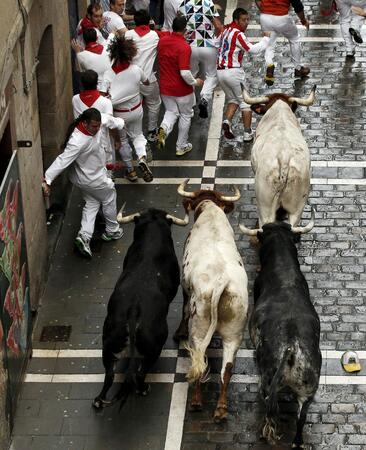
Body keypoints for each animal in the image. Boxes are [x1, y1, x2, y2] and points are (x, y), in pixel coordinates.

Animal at [92, 209, 181, 410]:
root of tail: (133, 311)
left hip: (108, 343)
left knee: (109, 375)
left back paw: (98, 401)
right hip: (154, 347)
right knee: (140, 373)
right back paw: (143, 389)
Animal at [176, 179, 247, 422]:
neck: (210, 212)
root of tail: (221, 282)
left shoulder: (184, 282)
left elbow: (183, 304)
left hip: (198, 327)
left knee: (199, 358)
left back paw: (197, 402)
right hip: (234, 333)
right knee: (227, 369)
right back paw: (221, 410)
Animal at [249, 222, 320, 450]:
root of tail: (291, 348)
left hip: (268, 383)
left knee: (272, 411)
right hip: (308, 390)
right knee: (301, 418)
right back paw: (297, 442)